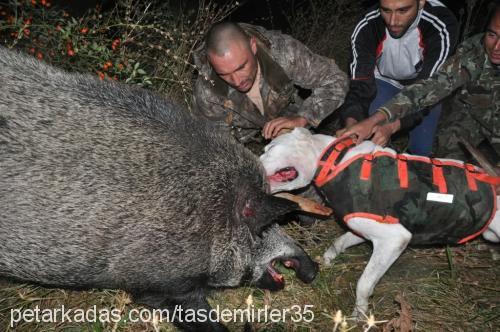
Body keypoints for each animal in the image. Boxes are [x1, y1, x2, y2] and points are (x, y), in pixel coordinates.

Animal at [262, 127, 500, 316]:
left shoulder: (393, 240)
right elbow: (339, 242)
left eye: (270, 147)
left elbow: (364, 283)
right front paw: (327, 260)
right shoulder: (361, 229)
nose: (254, 159)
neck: (334, 161)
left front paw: (359, 315)